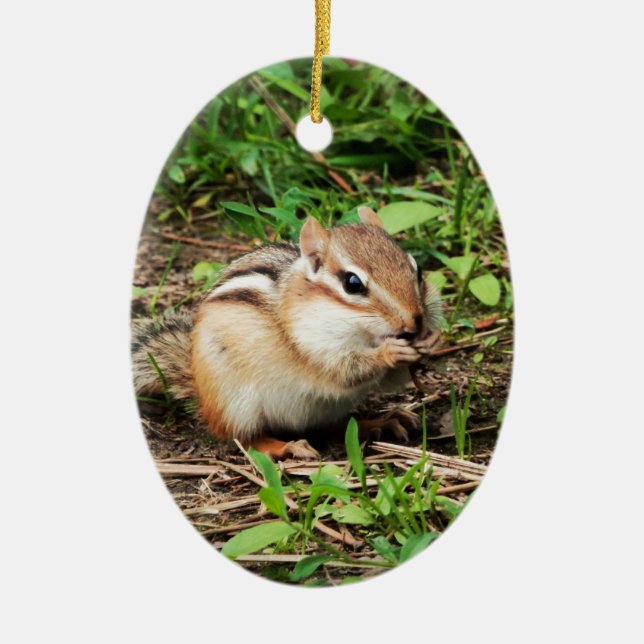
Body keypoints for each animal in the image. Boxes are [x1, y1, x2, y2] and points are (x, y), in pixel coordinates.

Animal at [132, 206, 442, 459]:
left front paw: (432, 339)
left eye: (418, 270)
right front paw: (390, 351)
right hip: (236, 404)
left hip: (326, 409)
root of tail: (198, 386)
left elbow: (391, 381)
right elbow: (344, 370)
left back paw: (381, 422)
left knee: (336, 427)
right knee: (243, 438)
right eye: (352, 283)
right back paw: (286, 446)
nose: (414, 322)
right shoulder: (313, 344)